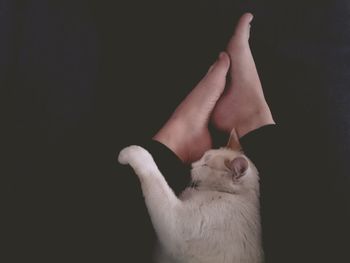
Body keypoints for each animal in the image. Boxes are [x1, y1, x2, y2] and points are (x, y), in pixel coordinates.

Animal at [117, 144, 262, 263]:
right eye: (202, 157)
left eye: (205, 165)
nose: (191, 165)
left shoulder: (176, 224)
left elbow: (154, 174)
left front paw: (130, 152)